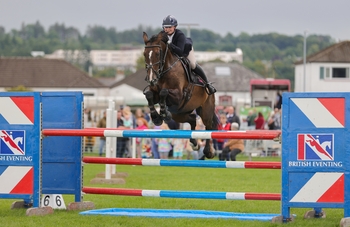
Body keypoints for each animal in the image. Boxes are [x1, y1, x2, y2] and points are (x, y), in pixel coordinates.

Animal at [142, 31, 219, 160]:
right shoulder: (155, 93)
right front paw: (157, 117)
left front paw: (163, 113)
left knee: (209, 127)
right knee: (192, 119)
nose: (152, 80)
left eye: (157, 54)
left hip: (206, 110)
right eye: (144, 54)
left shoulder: (179, 96)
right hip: (179, 114)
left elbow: (164, 92)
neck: (165, 70)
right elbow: (149, 95)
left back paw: (208, 152)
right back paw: (194, 143)